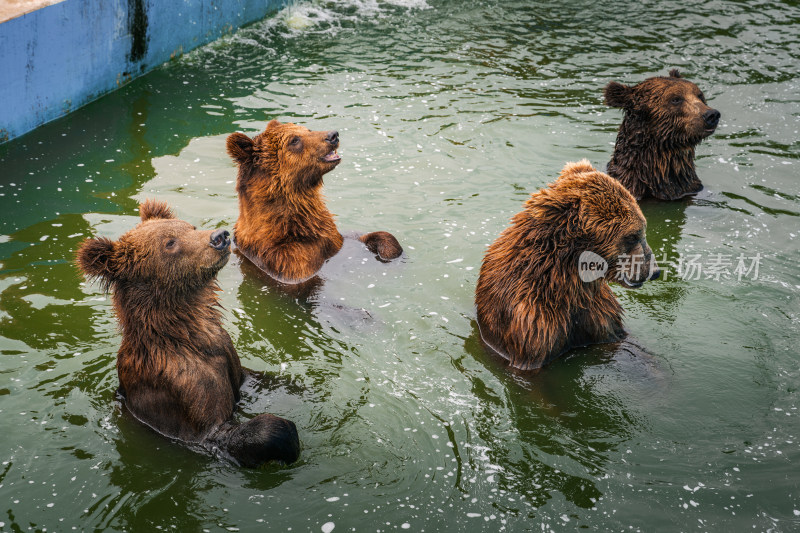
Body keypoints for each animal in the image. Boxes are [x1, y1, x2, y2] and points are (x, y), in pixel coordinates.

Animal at [76, 200, 300, 466]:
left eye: (190, 227)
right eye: (170, 243)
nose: (220, 237)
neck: (187, 335)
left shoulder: (226, 355)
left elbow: (252, 377)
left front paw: (294, 386)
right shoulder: (181, 388)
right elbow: (218, 431)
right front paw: (285, 435)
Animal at [225, 119, 400, 284]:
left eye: (307, 129)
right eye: (294, 140)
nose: (333, 135)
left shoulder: (333, 238)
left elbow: (369, 237)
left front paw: (388, 251)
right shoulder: (288, 262)